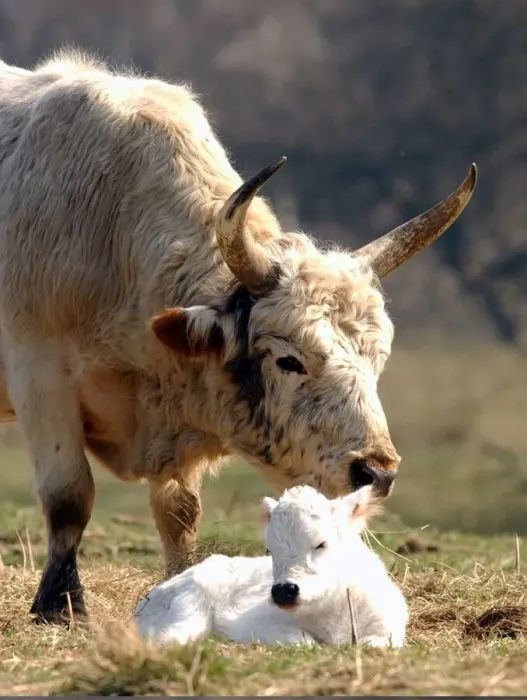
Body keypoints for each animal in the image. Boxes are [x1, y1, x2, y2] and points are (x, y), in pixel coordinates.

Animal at [0, 50, 477, 624]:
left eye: (378, 359)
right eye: (289, 361)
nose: (377, 471)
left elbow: (179, 512)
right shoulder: (40, 377)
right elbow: (69, 494)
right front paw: (60, 604)